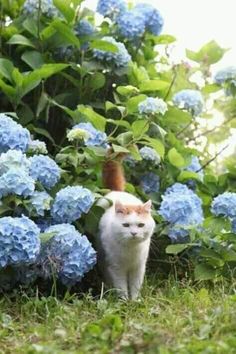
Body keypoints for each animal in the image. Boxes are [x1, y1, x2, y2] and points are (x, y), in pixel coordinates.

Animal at [97, 158, 156, 298]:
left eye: (141, 225)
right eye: (126, 225)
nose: (133, 233)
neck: (131, 250)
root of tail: (116, 191)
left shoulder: (139, 268)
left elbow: (135, 286)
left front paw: (135, 300)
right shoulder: (116, 268)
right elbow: (121, 287)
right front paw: (123, 301)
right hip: (104, 260)